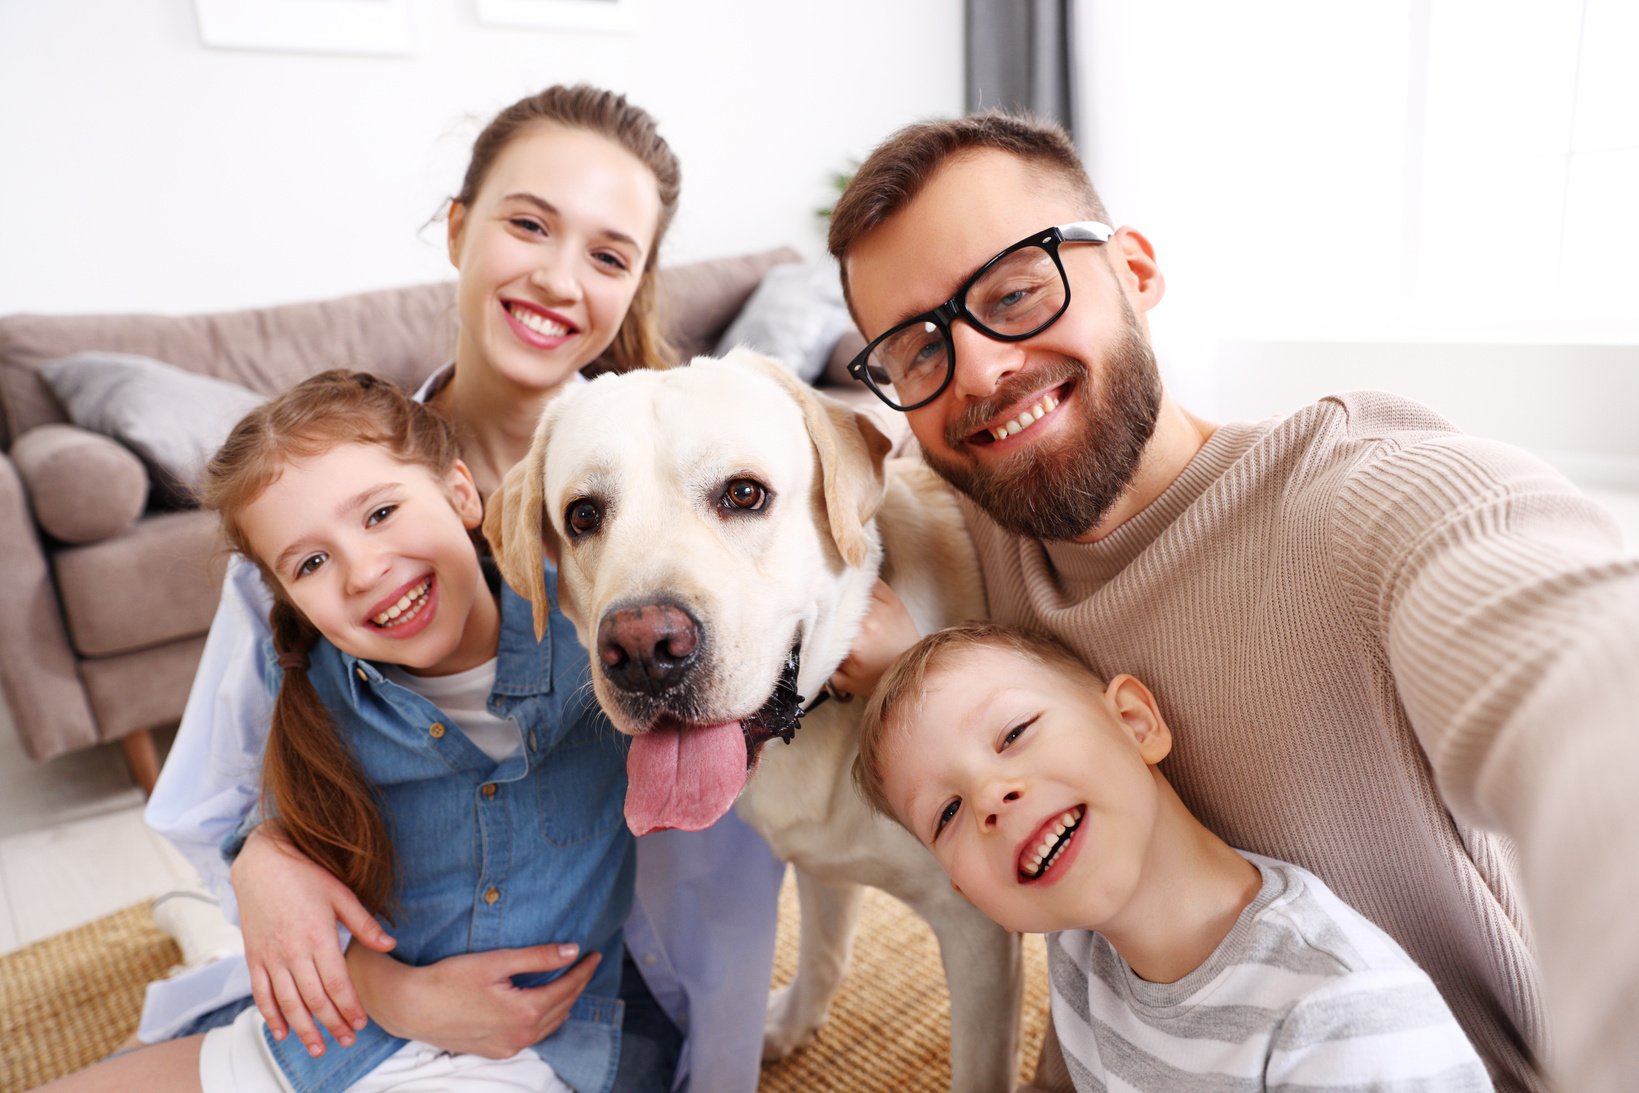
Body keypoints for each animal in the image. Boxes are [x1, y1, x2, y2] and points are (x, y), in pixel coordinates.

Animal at [481, 350, 1022, 1093]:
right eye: (583, 515)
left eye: (744, 494)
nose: (643, 651)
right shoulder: (822, 863)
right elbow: (823, 949)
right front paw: (793, 1026)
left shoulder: (979, 938)